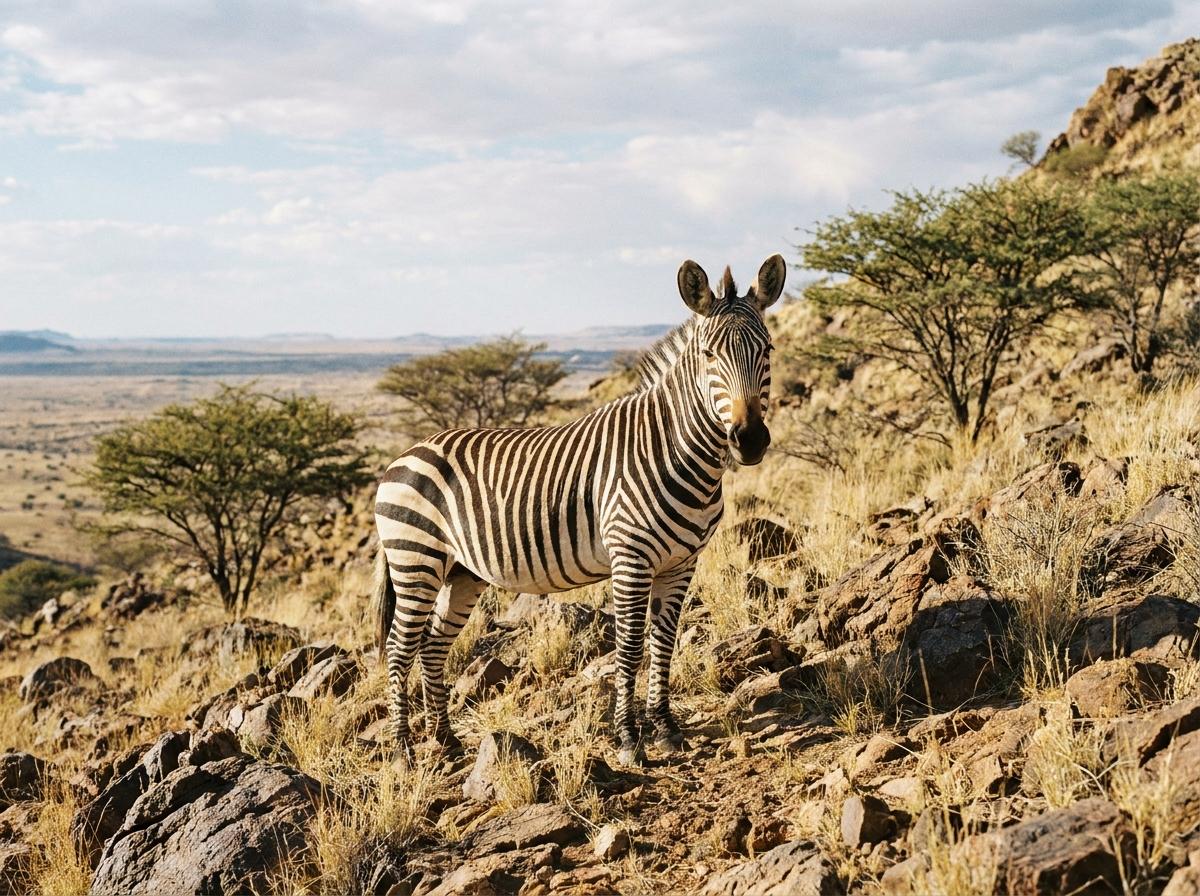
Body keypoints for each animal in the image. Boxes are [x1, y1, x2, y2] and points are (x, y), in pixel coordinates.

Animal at [373, 254, 785, 765]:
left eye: (767, 349)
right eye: (709, 356)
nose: (750, 440)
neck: (677, 450)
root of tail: (404, 454)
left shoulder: (681, 562)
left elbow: (663, 643)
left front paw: (666, 729)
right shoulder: (631, 558)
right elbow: (629, 648)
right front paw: (628, 739)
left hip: (461, 571)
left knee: (432, 645)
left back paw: (446, 742)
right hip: (415, 558)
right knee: (399, 647)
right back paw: (403, 751)